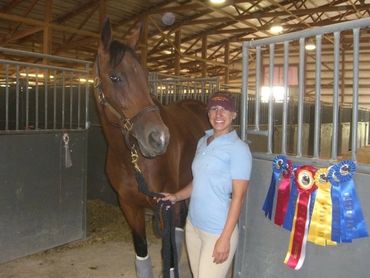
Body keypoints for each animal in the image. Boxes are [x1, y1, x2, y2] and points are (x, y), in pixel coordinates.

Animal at [94, 18, 210, 276]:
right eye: (114, 77)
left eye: (145, 75)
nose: (159, 138)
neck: (132, 162)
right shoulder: (129, 207)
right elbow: (143, 256)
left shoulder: (164, 205)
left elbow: (169, 258)